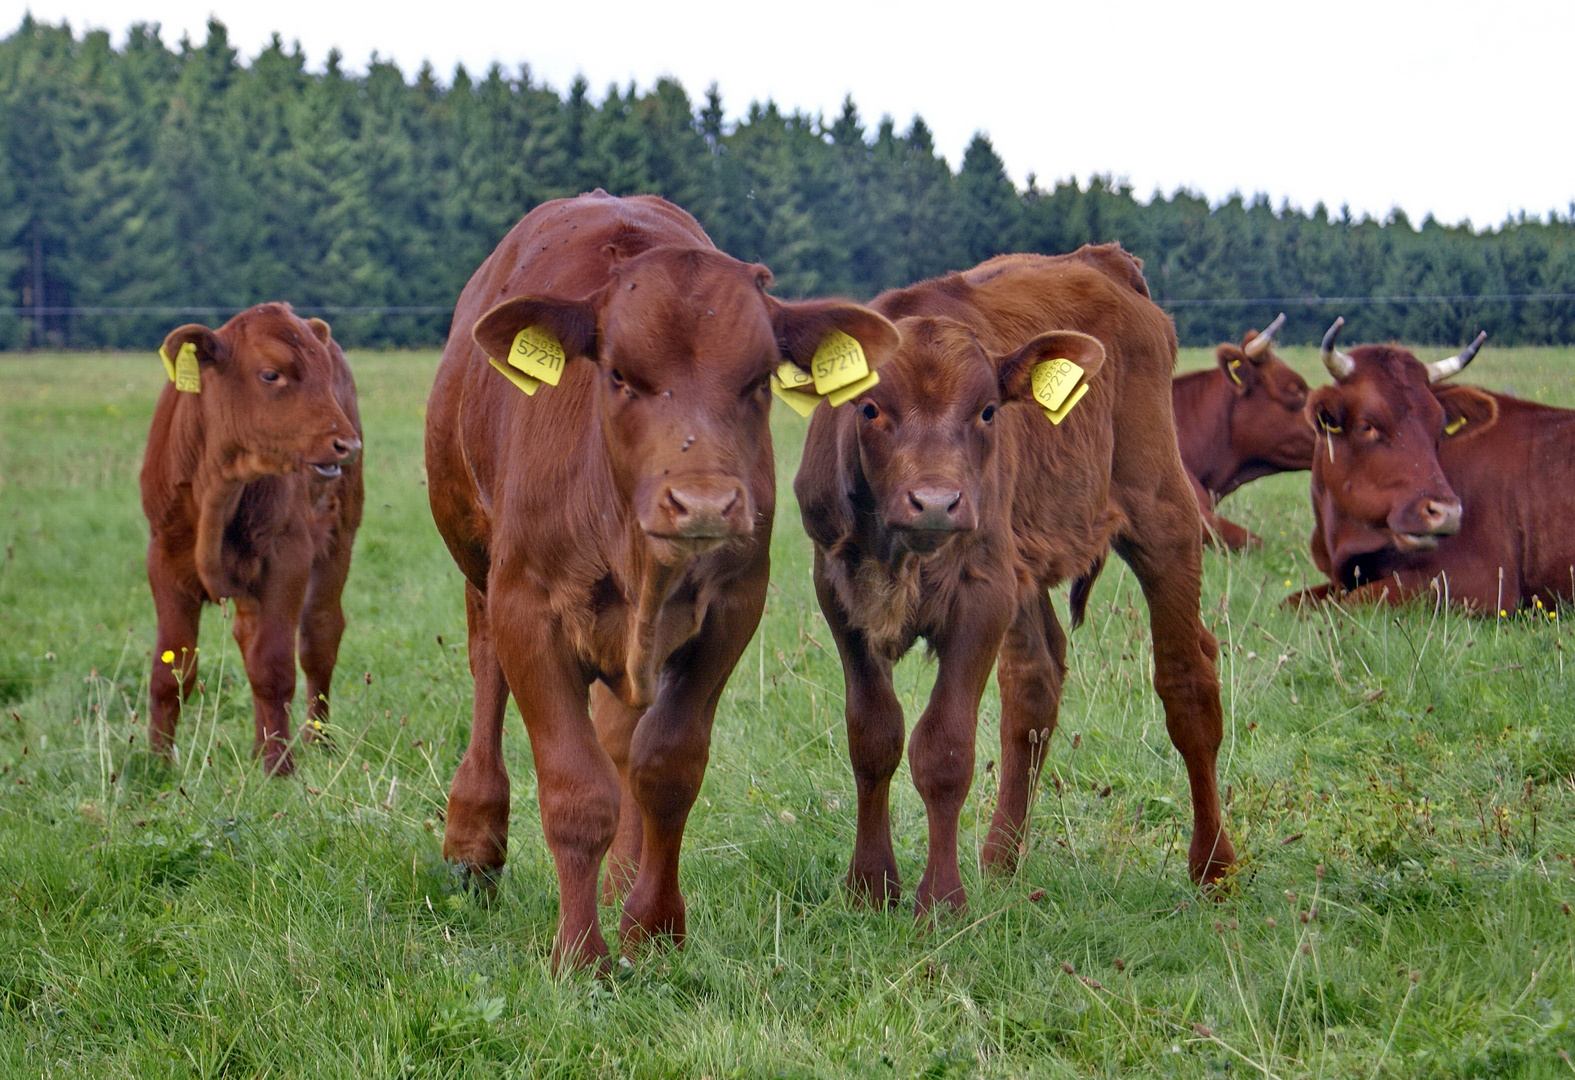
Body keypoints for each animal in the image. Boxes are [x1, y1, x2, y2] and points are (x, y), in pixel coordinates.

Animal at [139, 302, 362, 777]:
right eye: (270, 374)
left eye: (323, 372)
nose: (347, 443)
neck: (217, 485)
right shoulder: (162, 558)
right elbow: (171, 670)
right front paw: (158, 764)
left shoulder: (287, 556)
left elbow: (273, 668)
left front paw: (280, 768)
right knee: (249, 634)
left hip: (340, 537)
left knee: (319, 637)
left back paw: (317, 742)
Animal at [425, 188, 900, 976]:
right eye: (619, 374)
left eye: (758, 381)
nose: (703, 503)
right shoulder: (527, 606)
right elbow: (575, 789)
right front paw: (579, 954)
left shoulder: (732, 611)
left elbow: (665, 768)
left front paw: (651, 927)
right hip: (474, 552)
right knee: (486, 676)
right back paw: (474, 844)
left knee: (622, 736)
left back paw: (620, 876)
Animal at [793, 245, 1234, 913]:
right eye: (869, 408)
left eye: (987, 411)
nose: (936, 502)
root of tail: (1102, 260)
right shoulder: (839, 594)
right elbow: (873, 737)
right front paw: (869, 886)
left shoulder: (983, 595)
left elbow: (944, 749)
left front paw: (940, 901)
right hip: (1023, 561)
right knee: (1035, 683)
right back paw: (1002, 860)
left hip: (1164, 513)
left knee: (1188, 683)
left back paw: (1213, 865)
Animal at [1291, 318, 1575, 613]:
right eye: (1366, 425)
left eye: (1439, 427)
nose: (1447, 512)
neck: (1343, 541)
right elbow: (1294, 602)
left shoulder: (1477, 584)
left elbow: (1349, 603)